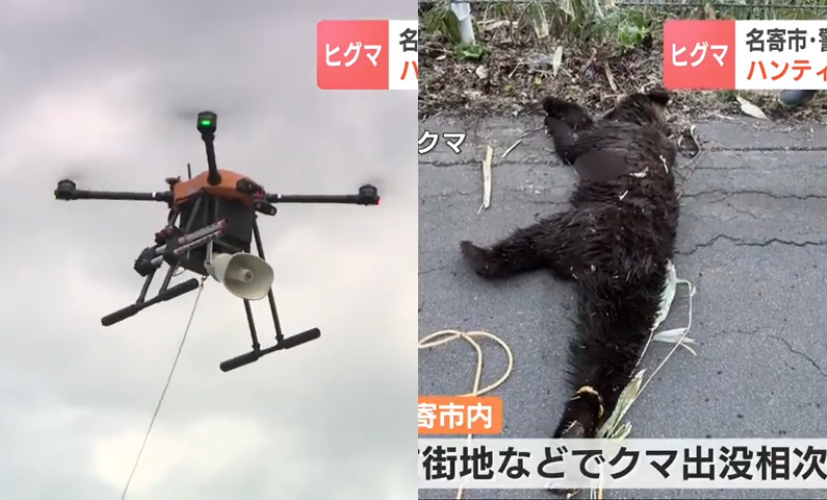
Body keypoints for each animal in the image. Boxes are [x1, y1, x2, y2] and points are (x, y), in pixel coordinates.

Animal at [459, 90, 680, 442]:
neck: (645, 123)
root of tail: (627, 265)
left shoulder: (592, 139)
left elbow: (573, 134)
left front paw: (553, 109)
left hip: (568, 227)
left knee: (520, 248)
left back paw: (479, 255)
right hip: (619, 308)